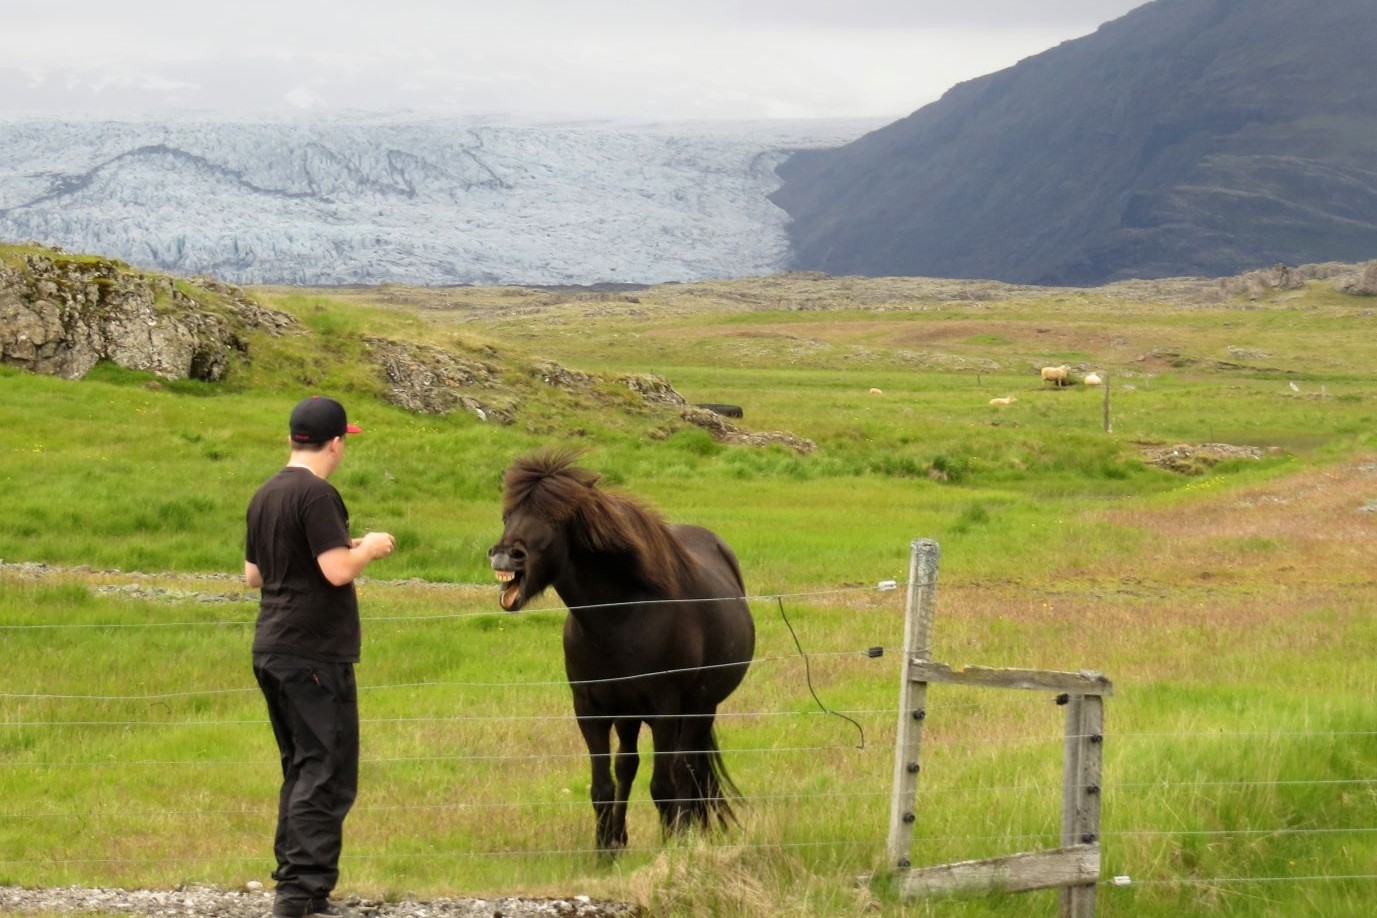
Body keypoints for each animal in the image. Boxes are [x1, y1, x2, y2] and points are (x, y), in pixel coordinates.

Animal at [490, 451, 760, 853]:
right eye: (508, 515)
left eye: (555, 518)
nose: (507, 557)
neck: (621, 616)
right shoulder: (590, 710)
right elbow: (603, 786)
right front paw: (605, 850)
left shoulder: (664, 708)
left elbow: (663, 785)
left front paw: (669, 846)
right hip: (630, 715)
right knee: (629, 766)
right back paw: (623, 837)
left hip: (700, 707)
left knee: (686, 768)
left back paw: (685, 831)